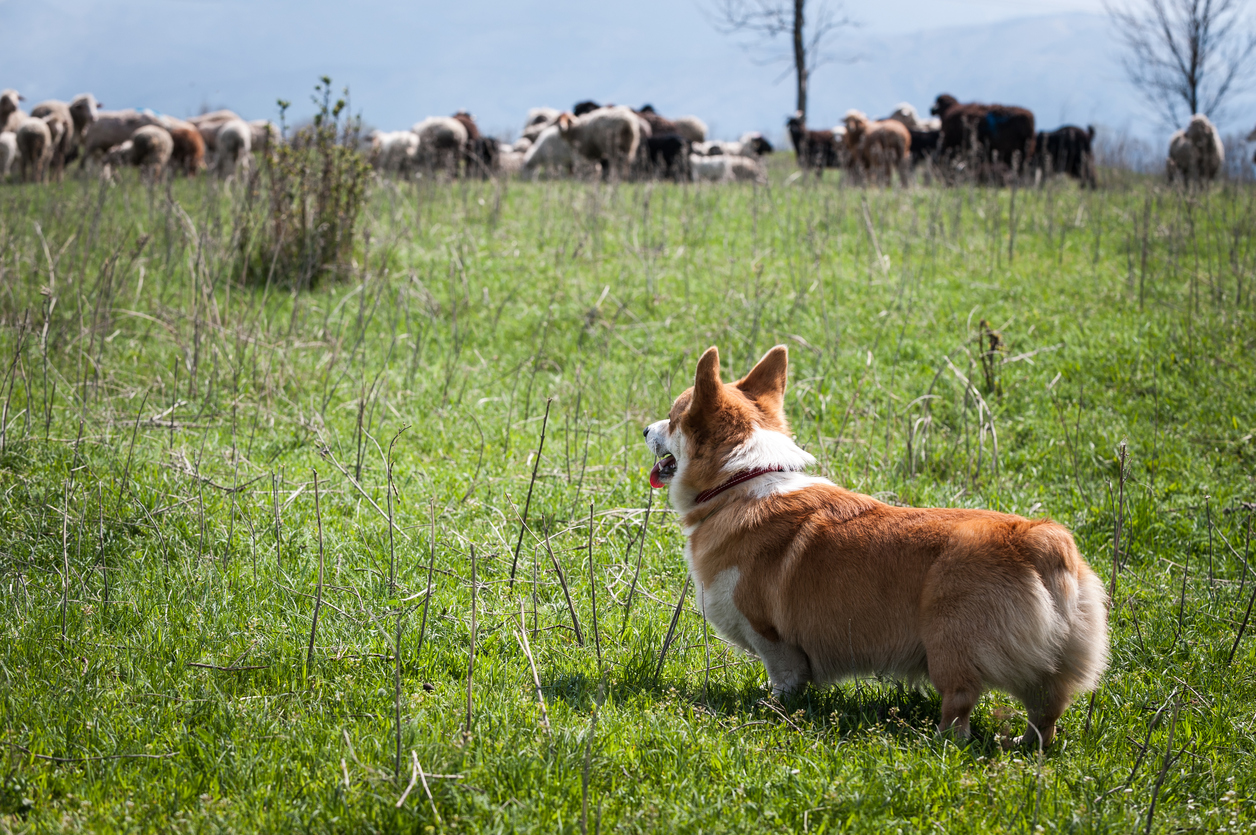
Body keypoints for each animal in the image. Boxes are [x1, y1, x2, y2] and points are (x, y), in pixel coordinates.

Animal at [643, 345, 1108, 746]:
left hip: (951, 646)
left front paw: (772, 709)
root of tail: (1038, 537)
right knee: (1045, 714)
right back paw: (1022, 745)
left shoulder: (772, 637)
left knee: (959, 710)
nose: (645, 428)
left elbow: (784, 680)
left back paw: (937, 742)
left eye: (673, 417)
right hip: (1051, 667)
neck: (740, 481)